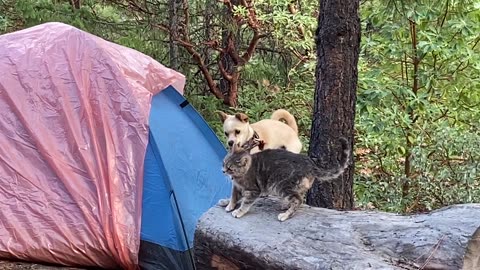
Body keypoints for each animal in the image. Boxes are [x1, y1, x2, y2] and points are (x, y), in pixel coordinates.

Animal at [219, 138, 350, 220]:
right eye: (223, 163)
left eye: (230, 168)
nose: (223, 171)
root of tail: (310, 163)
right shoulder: (236, 187)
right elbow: (233, 197)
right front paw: (228, 204)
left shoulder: (253, 190)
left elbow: (245, 203)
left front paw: (238, 211)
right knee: (298, 196)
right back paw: (286, 205)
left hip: (281, 186)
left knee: (298, 200)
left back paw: (285, 215)